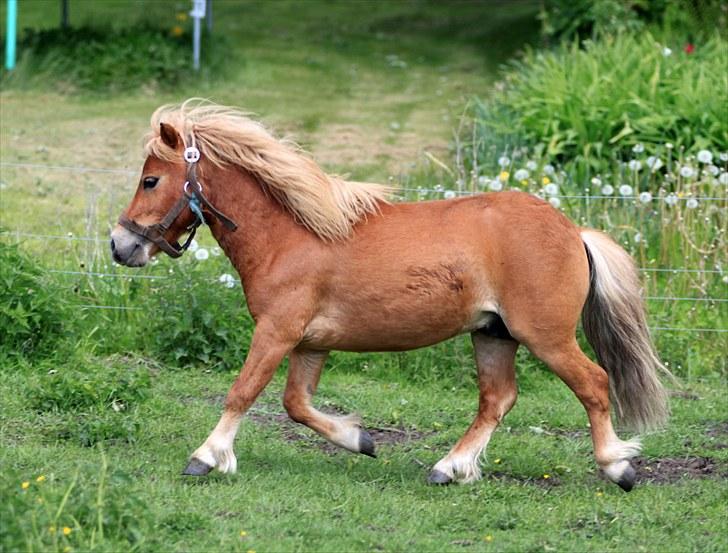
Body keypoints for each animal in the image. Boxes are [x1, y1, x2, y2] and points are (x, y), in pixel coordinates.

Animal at [111, 101, 668, 490]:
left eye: (151, 179)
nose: (121, 246)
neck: (292, 234)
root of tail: (574, 230)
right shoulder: (309, 344)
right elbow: (296, 404)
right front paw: (360, 440)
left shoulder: (276, 332)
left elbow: (243, 392)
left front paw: (206, 457)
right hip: (494, 334)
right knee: (497, 400)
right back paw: (450, 467)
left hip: (545, 337)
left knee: (594, 384)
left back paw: (617, 467)